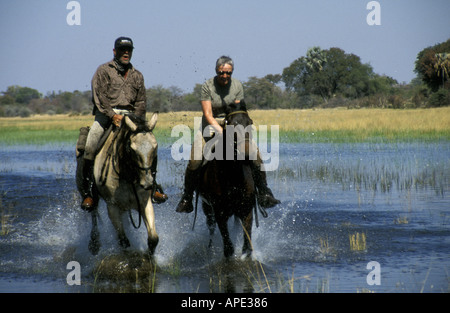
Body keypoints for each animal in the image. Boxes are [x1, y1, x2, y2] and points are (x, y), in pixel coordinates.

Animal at [195, 102, 266, 258]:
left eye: (250, 122)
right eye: (231, 124)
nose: (246, 153)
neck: (232, 177)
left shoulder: (246, 210)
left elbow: (247, 247)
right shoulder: (220, 214)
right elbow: (228, 249)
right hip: (207, 207)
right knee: (211, 227)